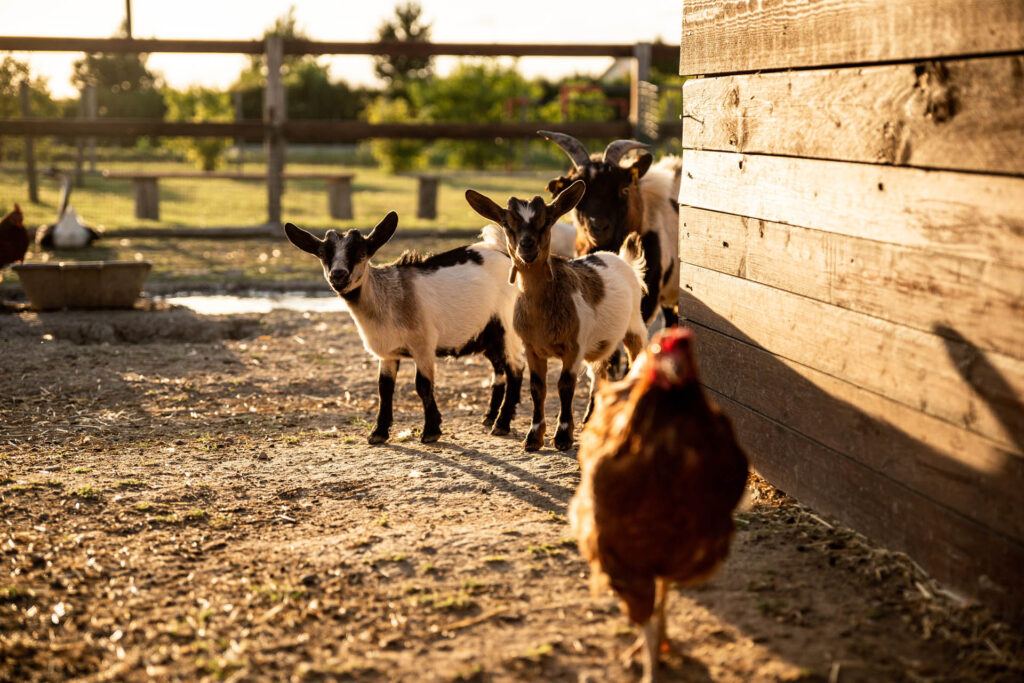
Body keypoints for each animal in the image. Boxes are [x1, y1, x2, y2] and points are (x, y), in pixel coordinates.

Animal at [466, 180, 647, 454]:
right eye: (508, 223)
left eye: (547, 221)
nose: (527, 246)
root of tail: (620, 258)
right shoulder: (532, 348)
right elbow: (537, 387)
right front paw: (533, 438)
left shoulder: (574, 346)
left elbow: (565, 385)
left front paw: (562, 437)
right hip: (599, 343)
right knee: (599, 372)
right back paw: (591, 418)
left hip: (634, 325)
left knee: (636, 360)